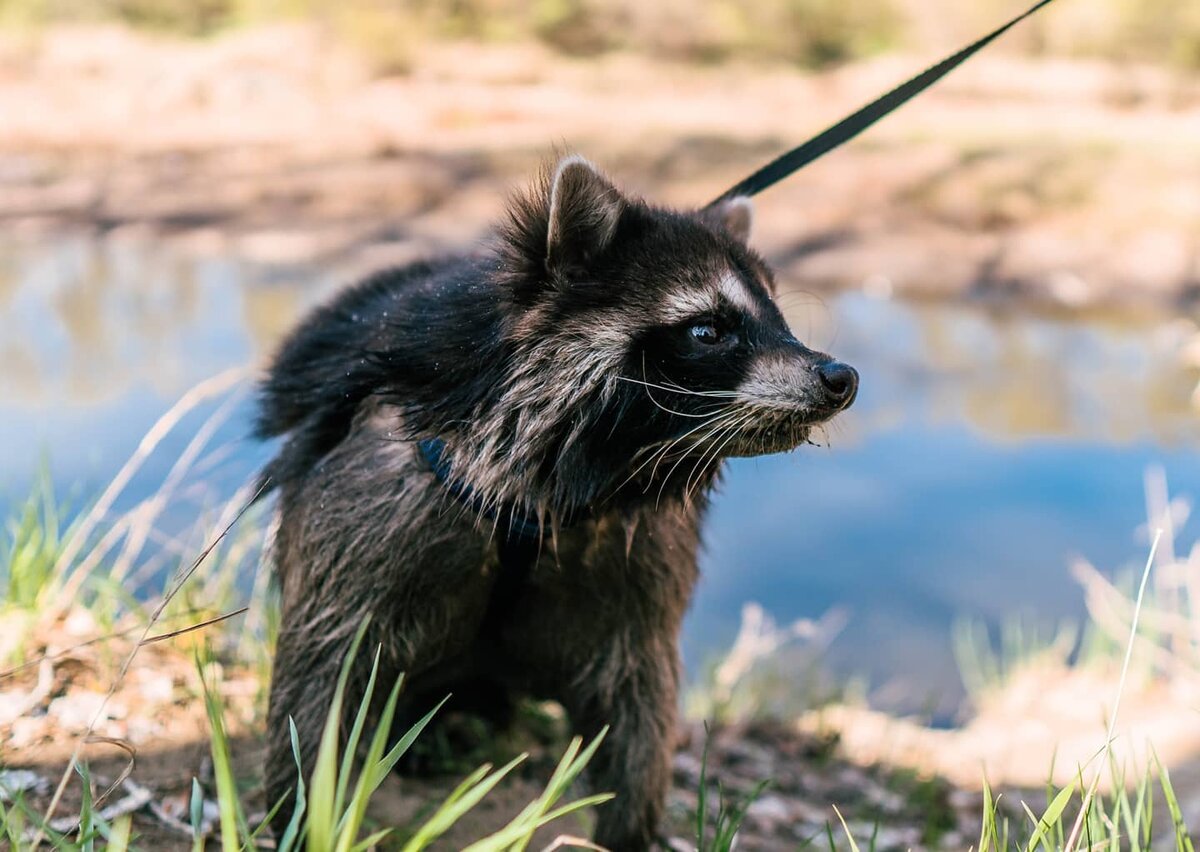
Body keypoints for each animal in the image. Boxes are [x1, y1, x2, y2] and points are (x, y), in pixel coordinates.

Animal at [258, 157, 859, 849]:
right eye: (708, 330)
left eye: (778, 320)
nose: (840, 378)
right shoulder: (379, 493)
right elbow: (324, 669)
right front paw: (303, 811)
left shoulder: (637, 552)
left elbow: (639, 693)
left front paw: (628, 830)